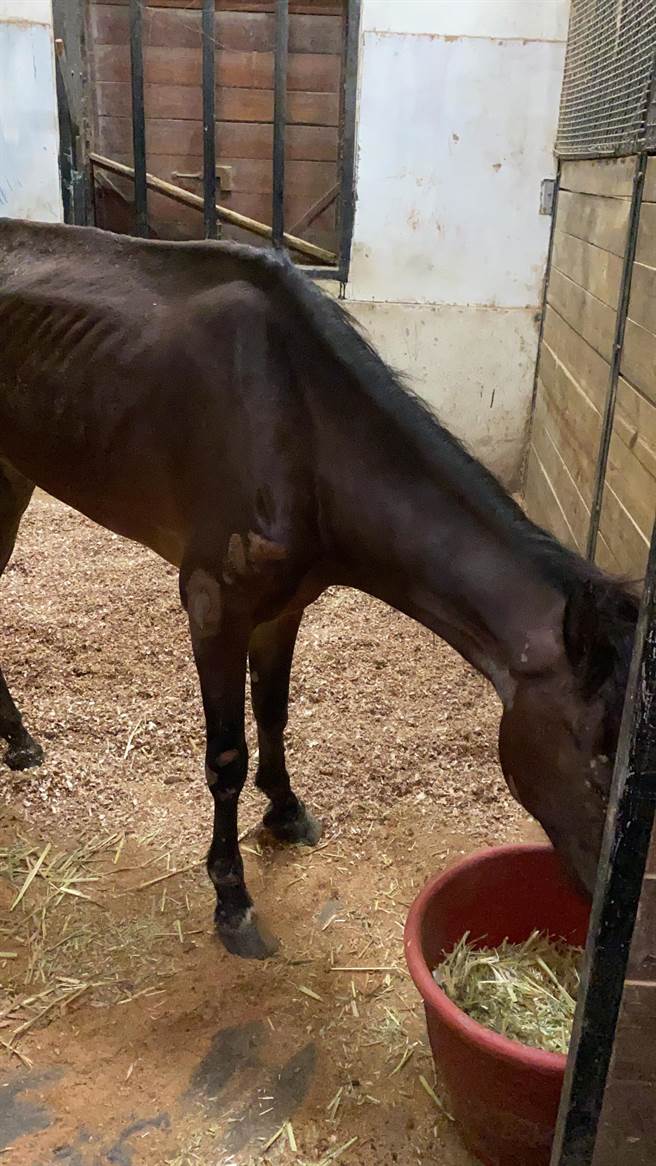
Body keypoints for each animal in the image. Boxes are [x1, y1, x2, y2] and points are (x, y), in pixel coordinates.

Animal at [0, 219, 638, 959]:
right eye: (598, 759)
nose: (610, 915)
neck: (301, 431)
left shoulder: (284, 609)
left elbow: (274, 714)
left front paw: (286, 812)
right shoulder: (214, 609)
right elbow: (226, 757)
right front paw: (233, 903)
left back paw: (18, 742)